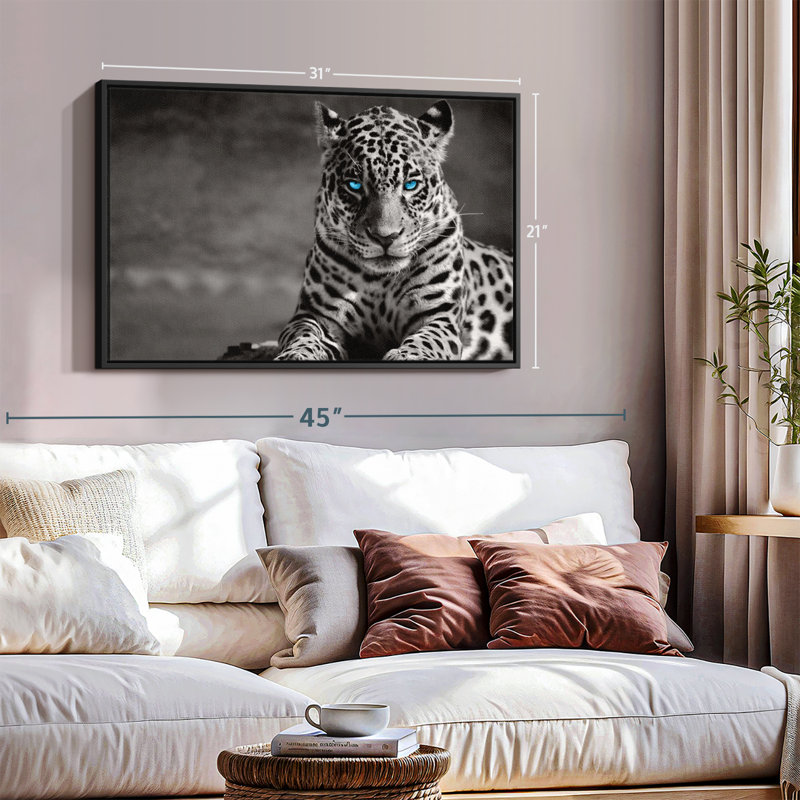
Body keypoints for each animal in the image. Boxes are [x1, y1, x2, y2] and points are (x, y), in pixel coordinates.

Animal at [272, 99, 515, 362]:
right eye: (354, 185)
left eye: (411, 185)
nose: (385, 237)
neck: (380, 280)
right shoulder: (314, 314)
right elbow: (304, 336)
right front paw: (295, 355)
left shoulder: (439, 316)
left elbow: (426, 341)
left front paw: (408, 356)